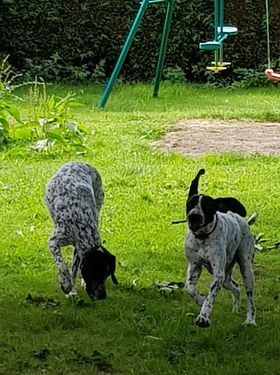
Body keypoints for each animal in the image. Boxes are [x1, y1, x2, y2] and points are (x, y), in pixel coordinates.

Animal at [45, 162, 117, 300]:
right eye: (96, 274)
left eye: (106, 275)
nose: (103, 296)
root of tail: (79, 162)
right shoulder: (53, 242)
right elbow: (62, 264)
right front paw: (66, 284)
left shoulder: (79, 250)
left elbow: (74, 270)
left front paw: (73, 290)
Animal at [184, 169, 256, 328]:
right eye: (190, 204)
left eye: (207, 206)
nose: (194, 216)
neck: (202, 238)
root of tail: (242, 220)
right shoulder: (194, 266)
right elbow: (189, 288)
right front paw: (200, 299)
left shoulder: (218, 274)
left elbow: (210, 297)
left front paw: (203, 317)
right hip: (226, 278)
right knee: (236, 287)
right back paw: (236, 308)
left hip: (245, 268)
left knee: (250, 298)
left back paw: (250, 320)